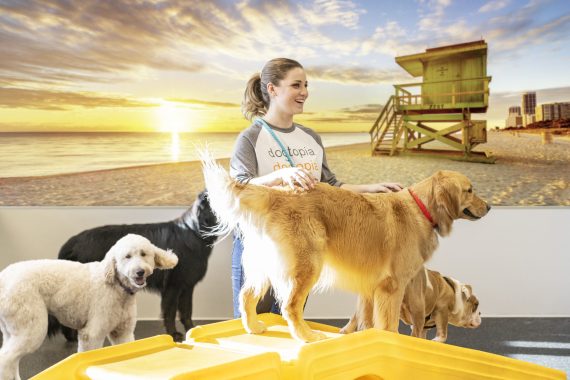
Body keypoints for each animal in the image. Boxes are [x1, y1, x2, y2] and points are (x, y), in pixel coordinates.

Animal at [57, 190, 216, 342]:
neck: (194, 233)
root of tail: (73, 241)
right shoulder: (173, 286)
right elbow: (170, 313)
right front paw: (173, 334)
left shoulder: (187, 286)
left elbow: (187, 312)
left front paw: (192, 330)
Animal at [342, 268, 480, 342]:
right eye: (476, 305)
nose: (480, 313)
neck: (455, 294)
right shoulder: (441, 310)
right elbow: (443, 332)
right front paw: (437, 340)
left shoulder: (424, 327)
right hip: (417, 307)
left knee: (357, 315)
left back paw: (345, 331)